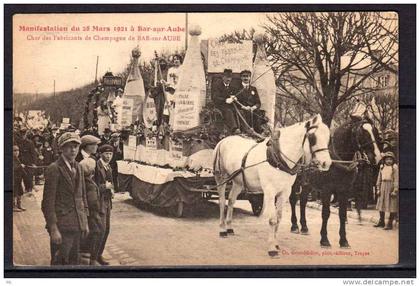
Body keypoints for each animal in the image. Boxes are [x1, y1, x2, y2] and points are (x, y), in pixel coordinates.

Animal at [213, 114, 332, 256]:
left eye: (329, 137)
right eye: (313, 138)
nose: (326, 163)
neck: (279, 157)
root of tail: (224, 140)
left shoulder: (284, 192)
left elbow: (279, 218)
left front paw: (276, 244)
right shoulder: (270, 191)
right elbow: (272, 219)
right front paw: (271, 248)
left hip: (238, 181)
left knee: (231, 200)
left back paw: (229, 227)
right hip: (221, 177)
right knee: (222, 201)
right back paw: (222, 229)